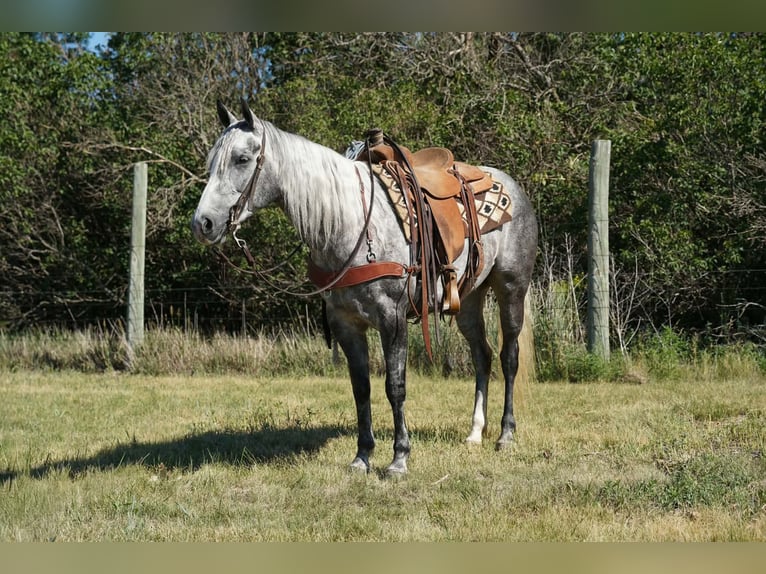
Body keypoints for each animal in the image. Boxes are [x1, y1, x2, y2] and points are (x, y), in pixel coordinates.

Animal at [191, 99, 538, 476]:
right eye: (212, 161)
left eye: (242, 159)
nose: (203, 223)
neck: (352, 223)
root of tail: (511, 185)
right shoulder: (346, 324)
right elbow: (361, 388)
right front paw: (362, 456)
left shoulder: (393, 319)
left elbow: (394, 386)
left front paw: (399, 458)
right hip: (468, 298)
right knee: (482, 356)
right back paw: (475, 432)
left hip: (511, 289)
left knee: (508, 357)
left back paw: (505, 434)